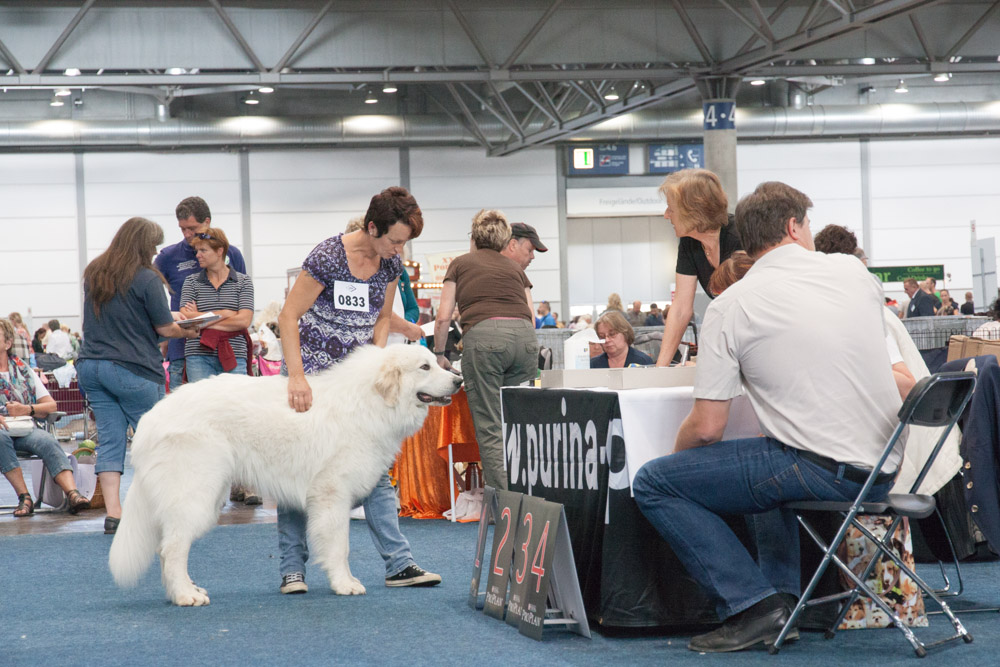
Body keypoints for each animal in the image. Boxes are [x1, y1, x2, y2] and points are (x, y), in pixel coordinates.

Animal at [110, 344, 464, 604]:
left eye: (436, 363)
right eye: (425, 367)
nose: (459, 380)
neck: (370, 401)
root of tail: (149, 420)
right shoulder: (332, 495)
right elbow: (340, 546)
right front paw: (345, 584)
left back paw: (186, 590)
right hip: (196, 495)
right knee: (171, 548)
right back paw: (186, 596)